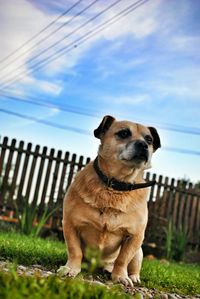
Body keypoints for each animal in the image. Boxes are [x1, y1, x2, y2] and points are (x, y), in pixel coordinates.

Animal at [58, 115, 161, 288]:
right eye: (124, 133)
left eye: (149, 139)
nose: (143, 145)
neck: (116, 186)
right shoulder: (70, 225)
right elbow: (75, 251)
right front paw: (71, 268)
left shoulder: (135, 236)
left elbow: (122, 259)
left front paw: (120, 276)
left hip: (139, 252)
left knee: (133, 265)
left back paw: (131, 276)